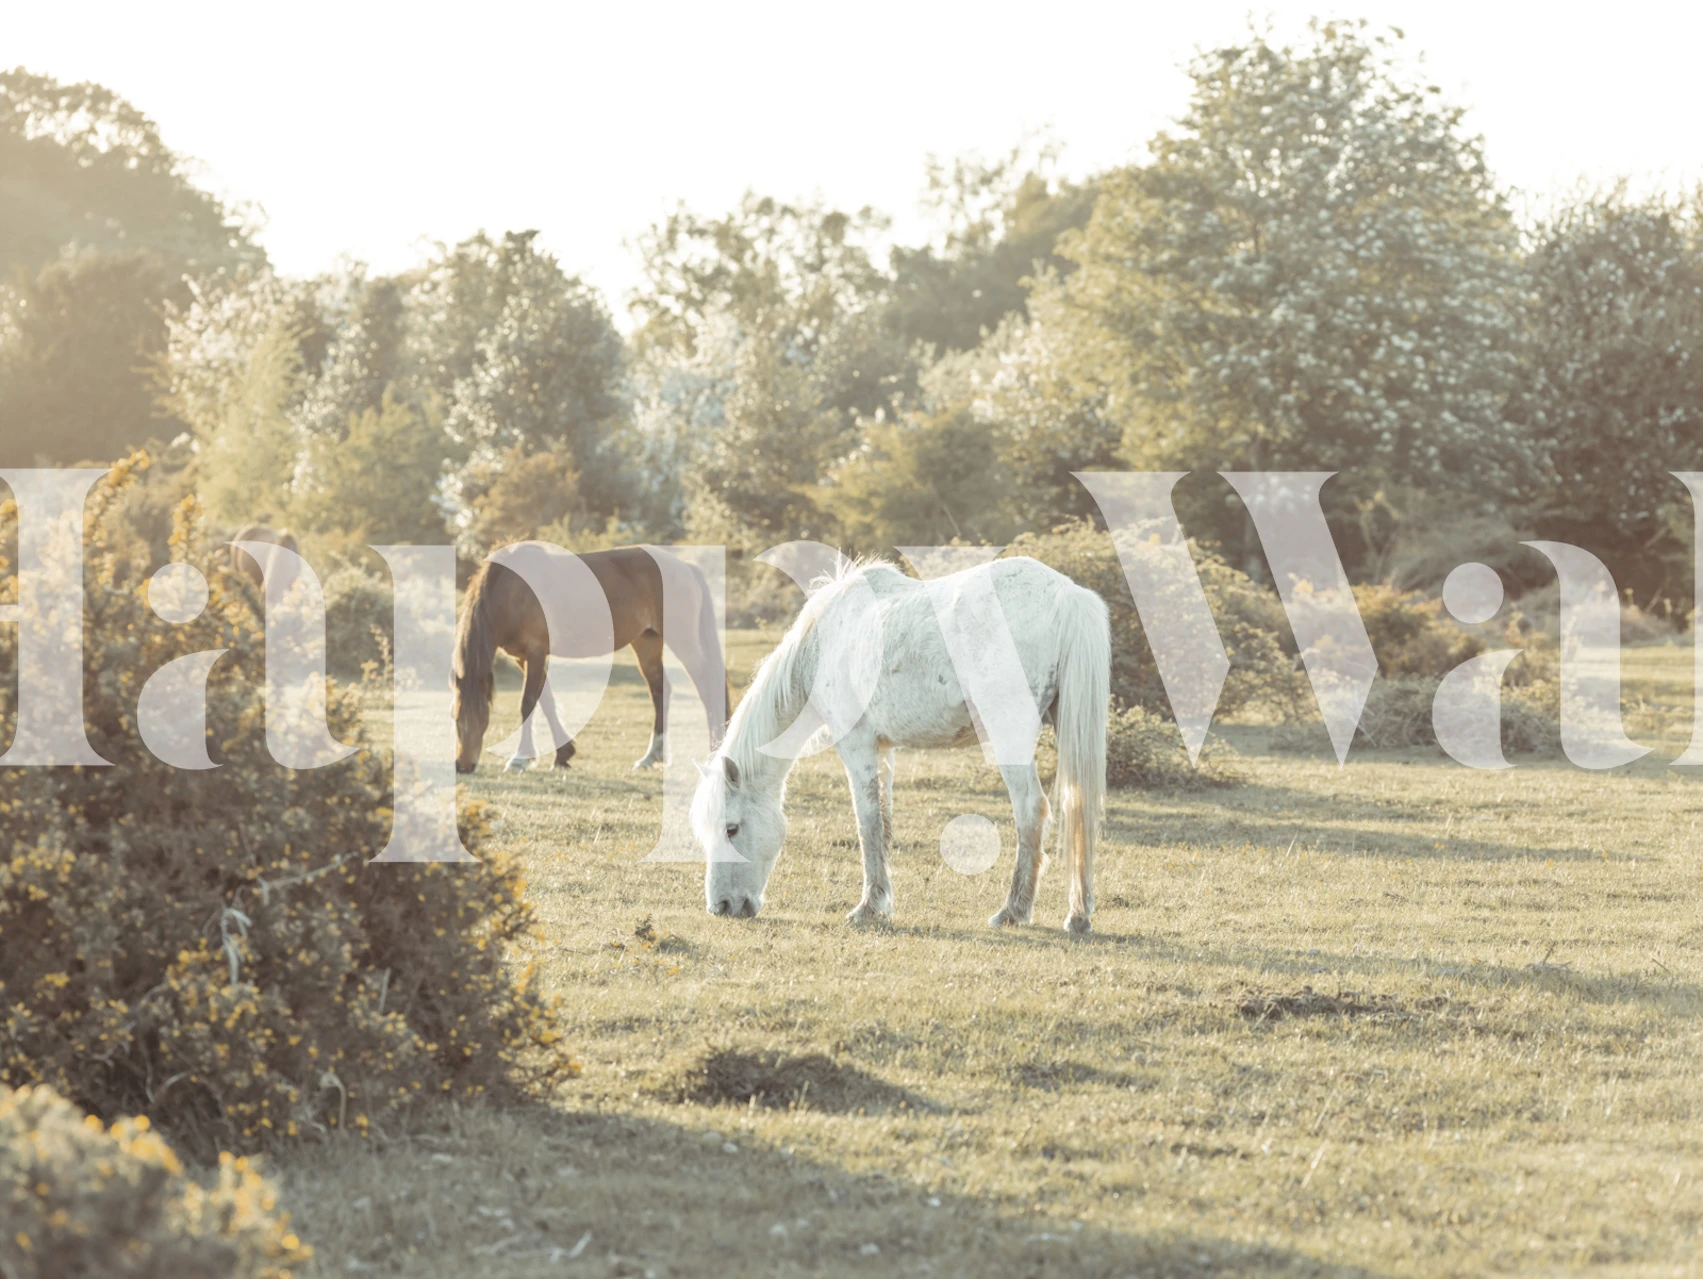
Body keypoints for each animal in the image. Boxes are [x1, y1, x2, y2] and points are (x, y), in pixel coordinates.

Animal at [452, 543, 729, 774]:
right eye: (455, 717)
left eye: (484, 718)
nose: (463, 765)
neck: (512, 589)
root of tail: (686, 567)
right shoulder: (524, 658)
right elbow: (546, 702)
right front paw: (563, 755)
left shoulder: (536, 652)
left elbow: (528, 703)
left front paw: (520, 759)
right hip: (647, 642)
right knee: (660, 691)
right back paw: (651, 757)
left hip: (683, 641)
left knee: (706, 688)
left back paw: (713, 752)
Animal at [691, 556, 1109, 932]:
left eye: (731, 828)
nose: (721, 907)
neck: (823, 644)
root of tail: (1068, 595)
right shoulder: (884, 749)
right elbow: (885, 821)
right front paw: (881, 902)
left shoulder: (857, 745)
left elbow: (868, 823)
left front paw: (866, 908)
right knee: (1078, 806)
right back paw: (1078, 915)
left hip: (1009, 735)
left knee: (1031, 811)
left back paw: (1013, 911)